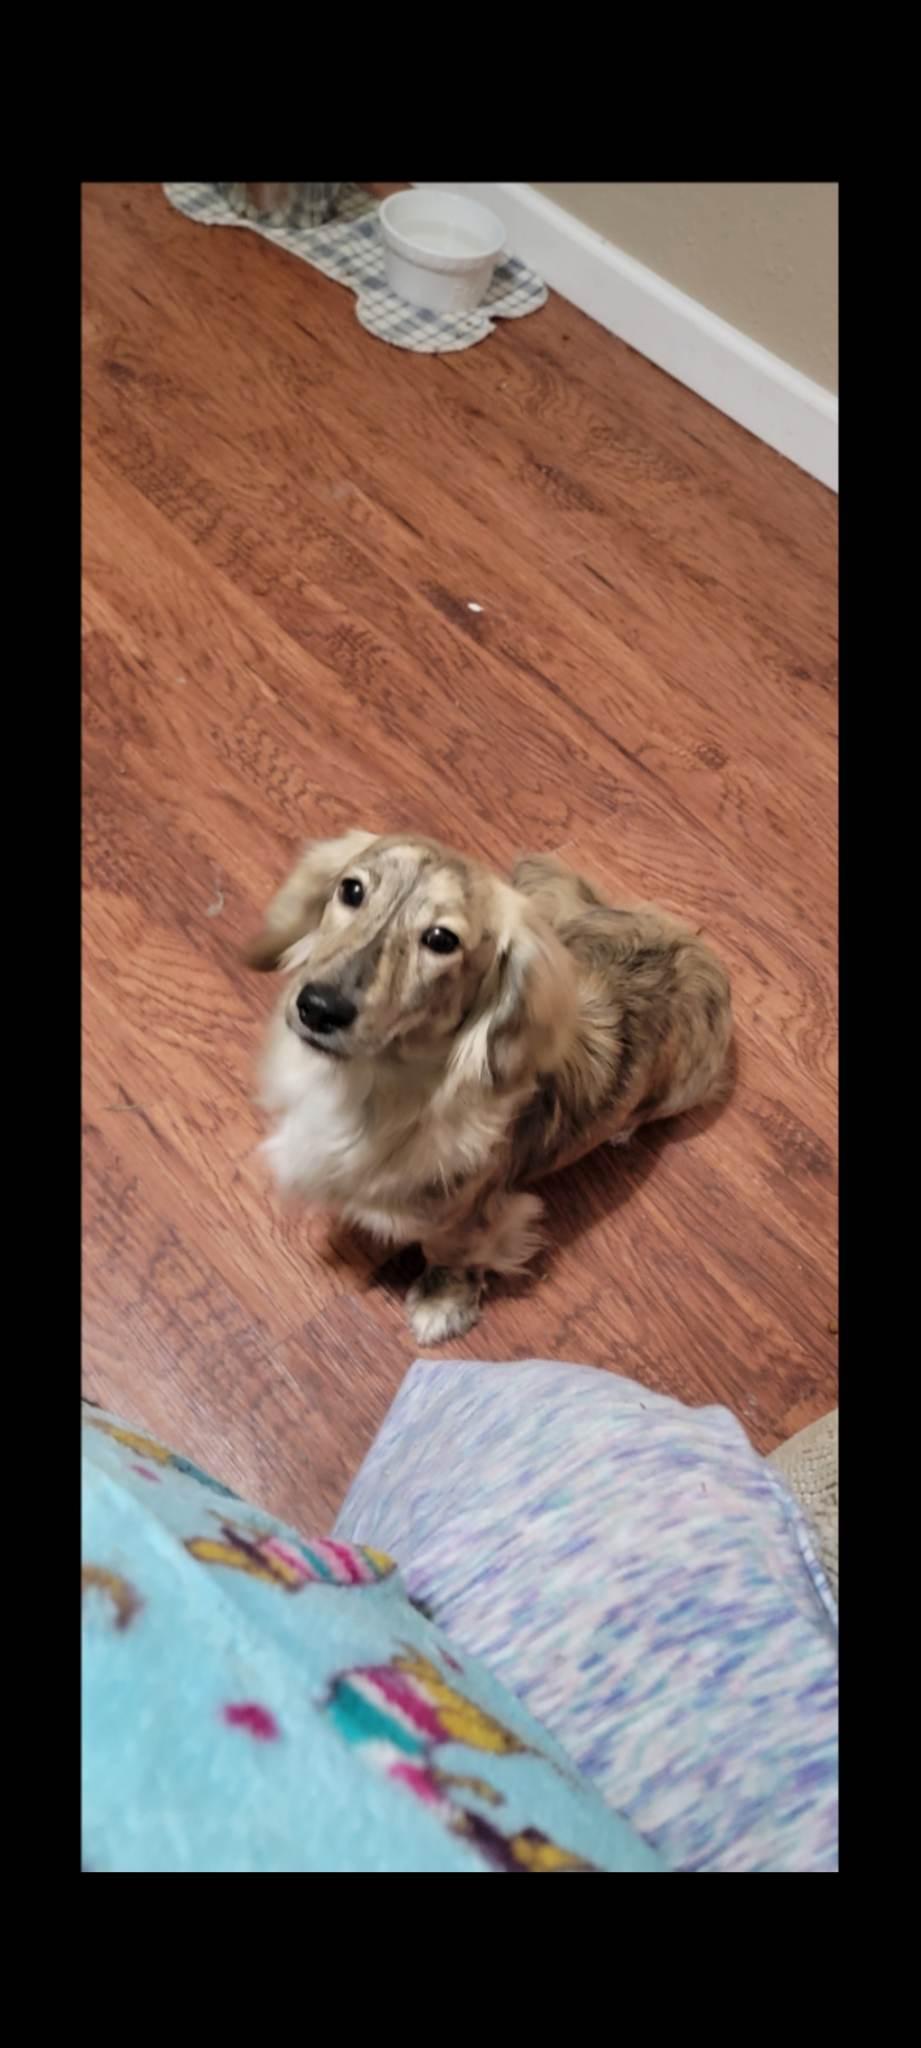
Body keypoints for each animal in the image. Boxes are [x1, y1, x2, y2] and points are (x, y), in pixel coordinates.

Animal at [245, 832, 732, 1345]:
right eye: (351, 890)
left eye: (442, 939)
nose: (319, 1008)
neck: (375, 1084)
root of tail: (692, 943)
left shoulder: (467, 1217)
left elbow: (450, 1257)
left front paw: (441, 1305)